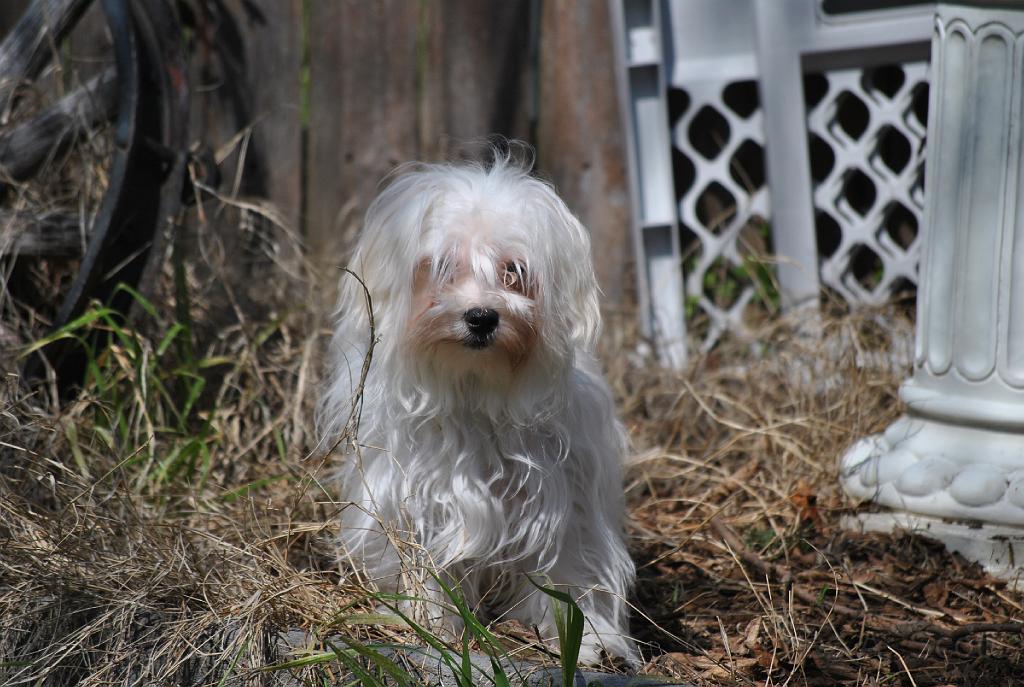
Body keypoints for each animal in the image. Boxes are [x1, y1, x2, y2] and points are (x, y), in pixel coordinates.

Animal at [319, 151, 634, 667]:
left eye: (514, 271)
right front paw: (433, 626)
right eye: (443, 266)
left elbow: (570, 569)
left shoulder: (564, 502)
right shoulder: (420, 500)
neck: (474, 385)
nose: (482, 317)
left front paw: (585, 639)